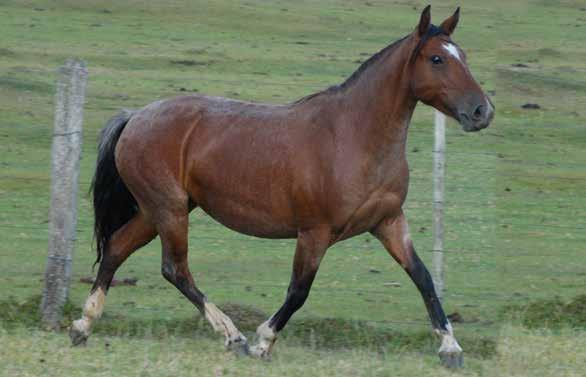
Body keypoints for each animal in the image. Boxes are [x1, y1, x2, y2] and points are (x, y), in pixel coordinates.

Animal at [70, 4, 496, 366]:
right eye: (437, 59)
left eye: (463, 55)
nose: (482, 111)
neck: (353, 137)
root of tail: (136, 116)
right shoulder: (315, 232)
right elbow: (298, 291)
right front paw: (262, 342)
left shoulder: (388, 222)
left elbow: (423, 277)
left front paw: (451, 349)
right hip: (169, 210)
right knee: (175, 269)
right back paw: (233, 337)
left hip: (156, 211)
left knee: (117, 248)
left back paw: (82, 326)